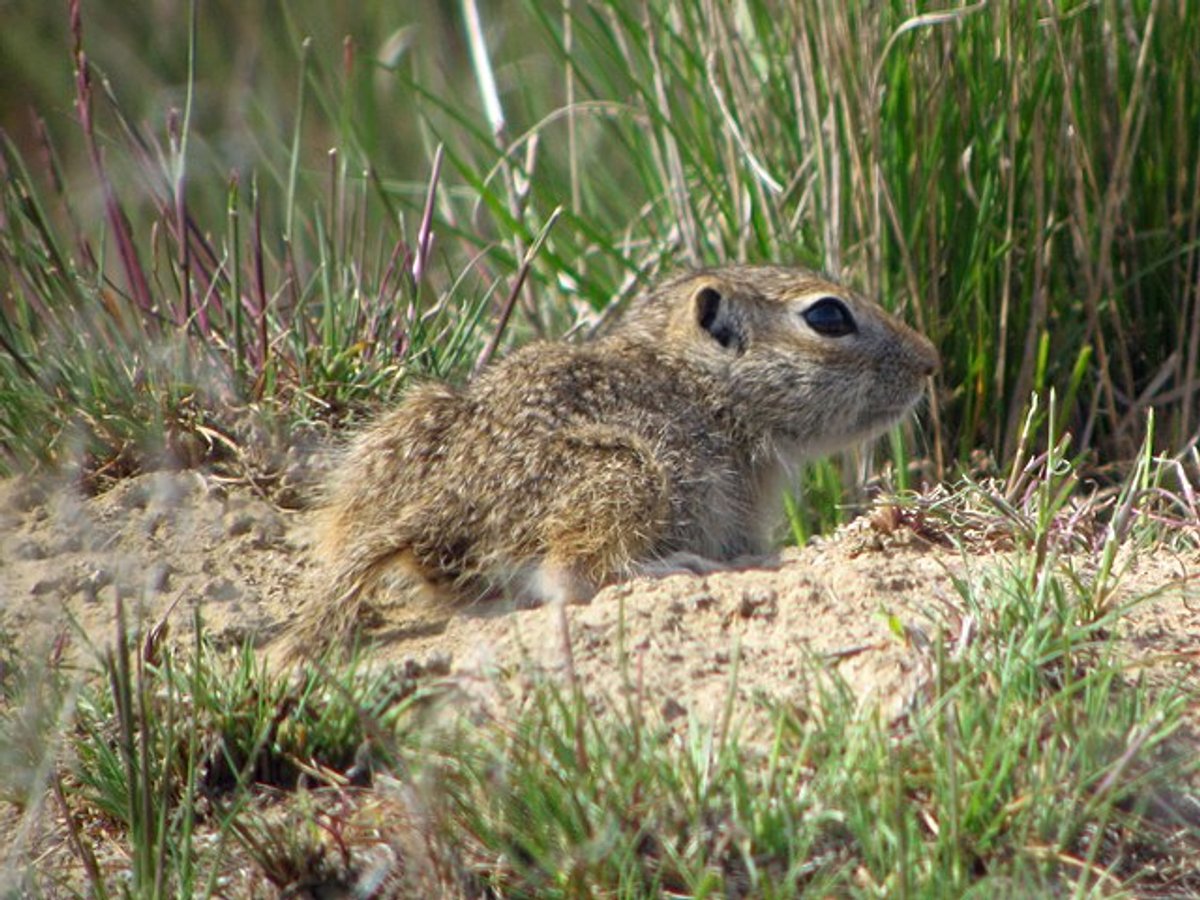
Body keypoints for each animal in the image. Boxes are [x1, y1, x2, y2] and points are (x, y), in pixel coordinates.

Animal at [300, 265, 938, 647]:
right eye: (828, 316)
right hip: (628, 473)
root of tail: (439, 510)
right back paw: (675, 568)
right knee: (571, 576)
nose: (930, 361)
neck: (707, 384)